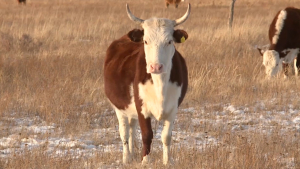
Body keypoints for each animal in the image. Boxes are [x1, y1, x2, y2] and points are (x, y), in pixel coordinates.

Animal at [104, 3, 191, 164]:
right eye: (146, 41)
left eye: (169, 41)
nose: (155, 67)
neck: (160, 85)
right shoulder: (142, 108)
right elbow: (147, 134)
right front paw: (145, 161)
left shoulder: (173, 108)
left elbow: (166, 136)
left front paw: (167, 162)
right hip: (119, 108)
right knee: (124, 132)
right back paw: (126, 158)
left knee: (132, 128)